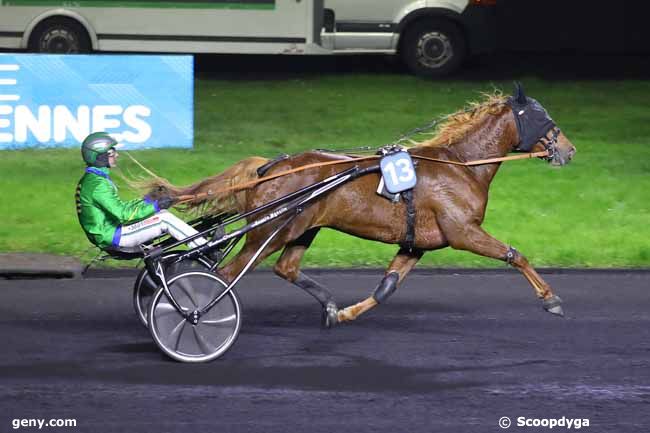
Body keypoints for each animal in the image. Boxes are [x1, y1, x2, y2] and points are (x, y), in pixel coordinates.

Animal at [149, 85, 576, 328]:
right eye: (543, 117)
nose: (569, 150)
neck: (461, 164)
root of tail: (267, 166)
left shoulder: (414, 244)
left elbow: (386, 288)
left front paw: (345, 313)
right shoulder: (463, 232)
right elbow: (514, 255)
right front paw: (551, 300)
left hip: (303, 228)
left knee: (286, 268)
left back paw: (327, 305)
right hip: (269, 231)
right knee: (226, 274)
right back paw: (198, 312)